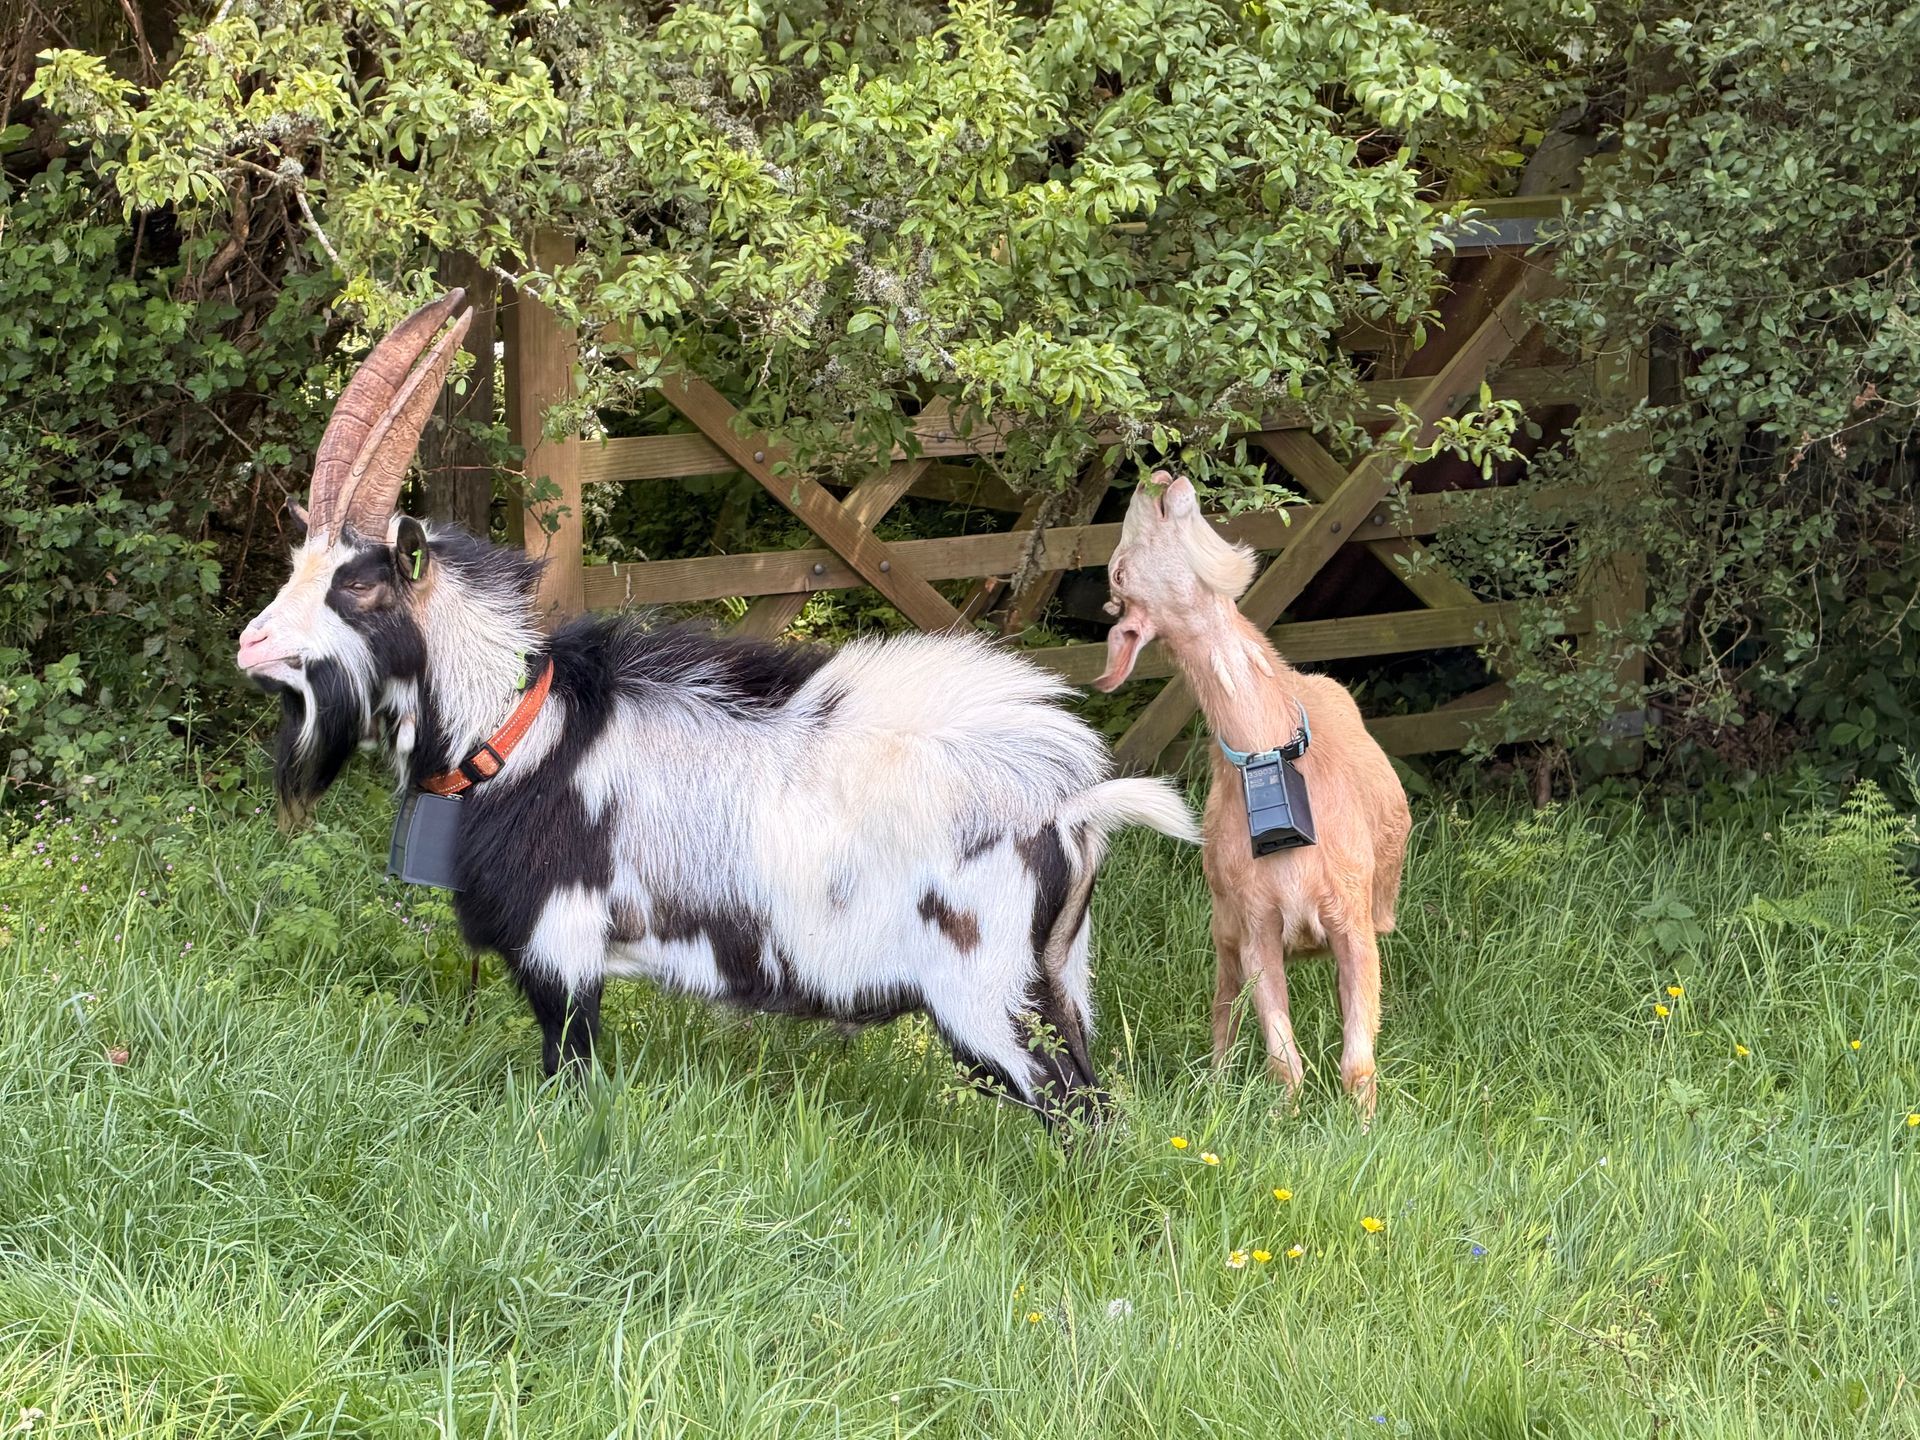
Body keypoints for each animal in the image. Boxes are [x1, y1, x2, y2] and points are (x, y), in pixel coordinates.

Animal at [235, 292, 1198, 1127]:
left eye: (360, 586)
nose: (251, 643)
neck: (523, 737)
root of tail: (1073, 803)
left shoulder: (563, 945)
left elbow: (569, 1072)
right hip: (1057, 976)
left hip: (986, 991)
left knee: (1079, 1110)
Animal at [1093, 472, 1410, 1116]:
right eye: (1118, 573)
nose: (1157, 478)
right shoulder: (1255, 921)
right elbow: (1283, 1060)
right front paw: (1285, 1123)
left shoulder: (1354, 915)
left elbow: (1358, 1062)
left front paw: (1367, 1129)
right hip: (1221, 922)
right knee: (1222, 1008)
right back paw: (1215, 1088)